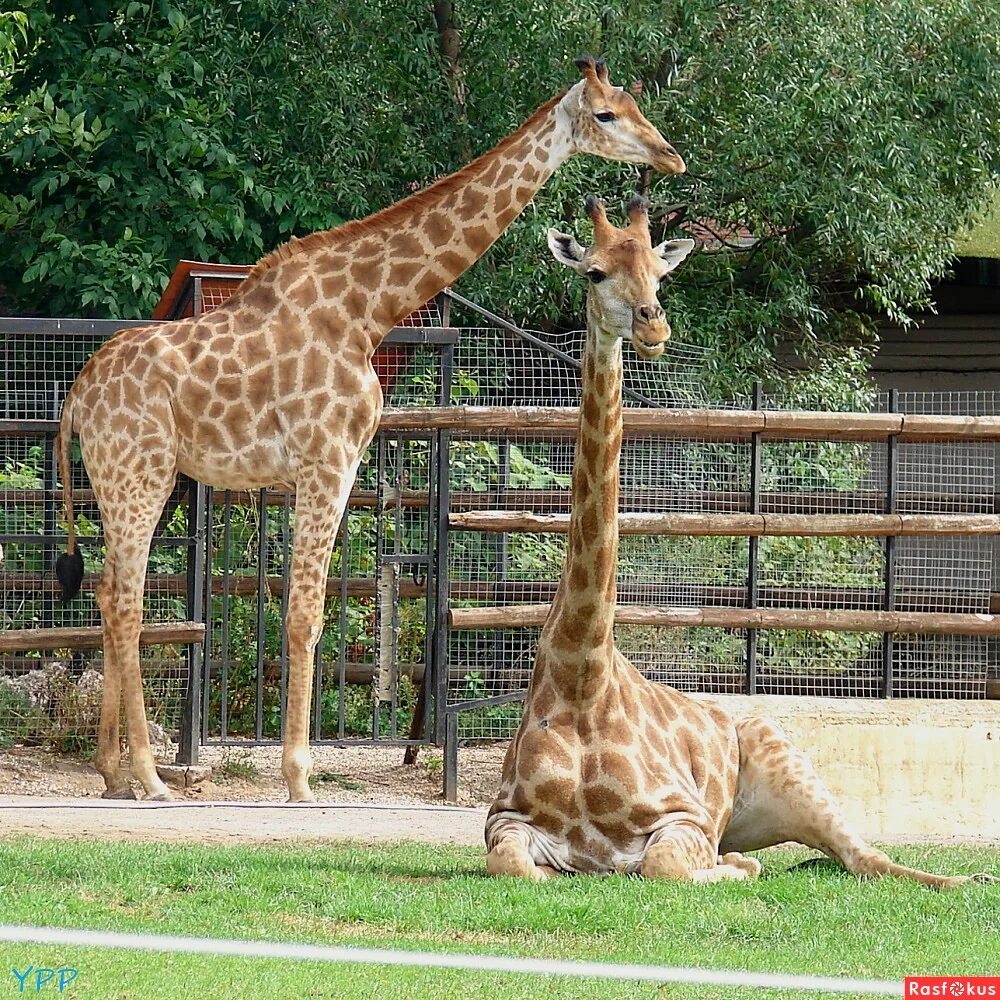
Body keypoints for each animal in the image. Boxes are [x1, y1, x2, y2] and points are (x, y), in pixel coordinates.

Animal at [50, 56, 684, 804]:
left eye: (637, 107)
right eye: (608, 114)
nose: (669, 156)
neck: (368, 308)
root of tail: (78, 396)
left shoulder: (345, 462)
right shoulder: (324, 458)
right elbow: (304, 612)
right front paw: (300, 779)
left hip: (132, 477)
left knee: (108, 592)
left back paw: (112, 772)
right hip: (138, 473)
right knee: (125, 600)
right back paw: (149, 776)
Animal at [484, 197, 992, 892]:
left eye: (660, 274)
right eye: (593, 271)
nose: (653, 325)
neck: (580, 677)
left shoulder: (684, 817)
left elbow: (666, 865)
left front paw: (731, 866)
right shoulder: (503, 819)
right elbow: (517, 867)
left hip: (789, 761)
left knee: (866, 857)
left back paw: (965, 882)